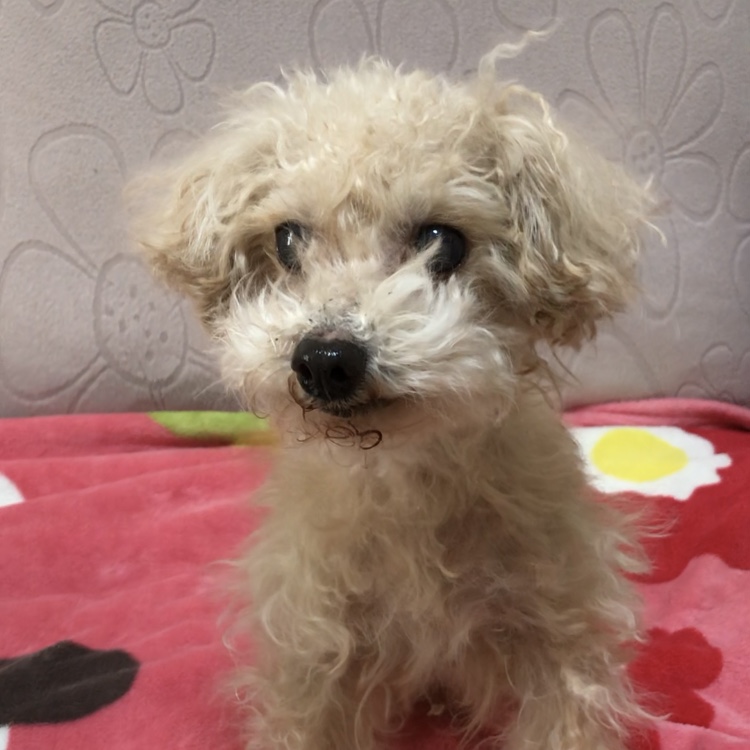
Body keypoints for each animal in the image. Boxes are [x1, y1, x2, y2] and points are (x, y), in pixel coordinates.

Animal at [129, 48, 654, 750]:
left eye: (443, 240)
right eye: (288, 240)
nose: (324, 361)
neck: (406, 476)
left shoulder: (557, 632)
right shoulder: (316, 641)